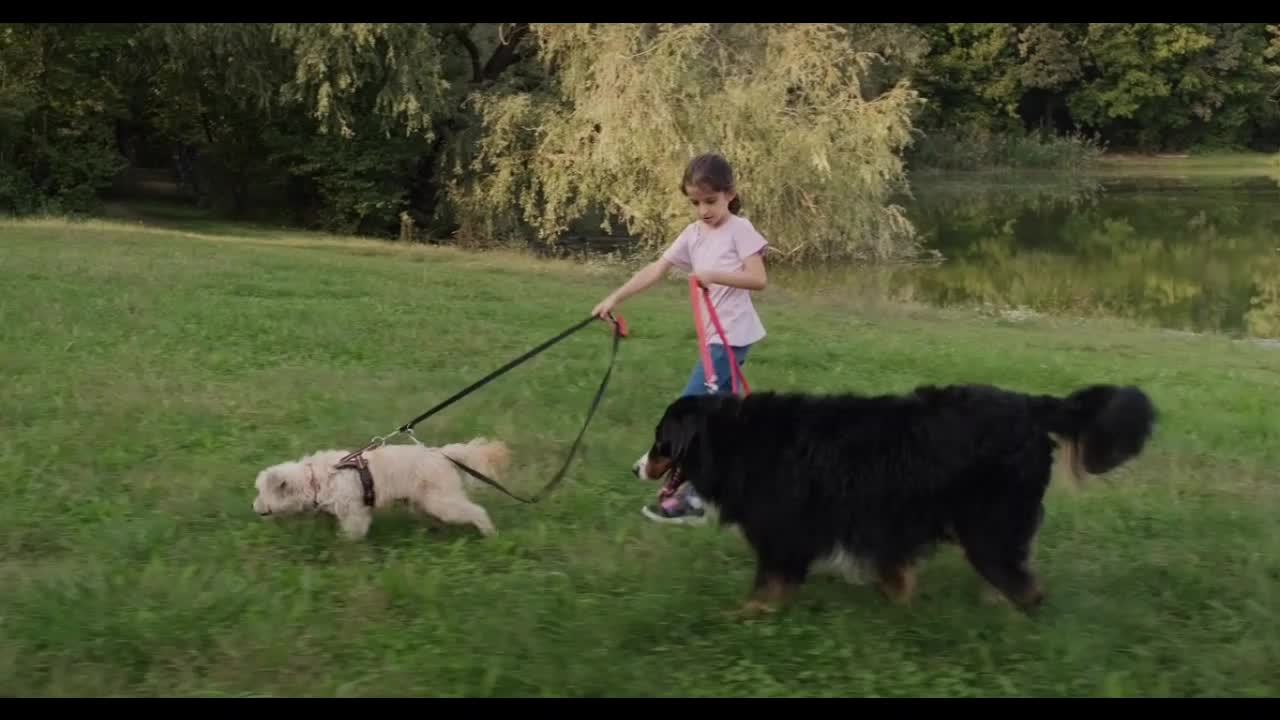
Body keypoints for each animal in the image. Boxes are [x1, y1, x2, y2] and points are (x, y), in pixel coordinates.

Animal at [249, 430, 509, 538]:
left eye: (262, 493)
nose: (253, 507)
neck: (316, 479)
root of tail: (442, 454)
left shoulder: (354, 513)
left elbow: (352, 534)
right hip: (424, 502)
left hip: (441, 500)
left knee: (476, 511)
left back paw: (490, 533)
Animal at [634, 381, 1157, 609]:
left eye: (660, 442)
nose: (636, 466)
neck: (736, 441)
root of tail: (1031, 406)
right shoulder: (880, 519)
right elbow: (891, 569)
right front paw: (899, 598)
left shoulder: (784, 532)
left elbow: (767, 586)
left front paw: (746, 616)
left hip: (988, 522)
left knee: (1023, 584)